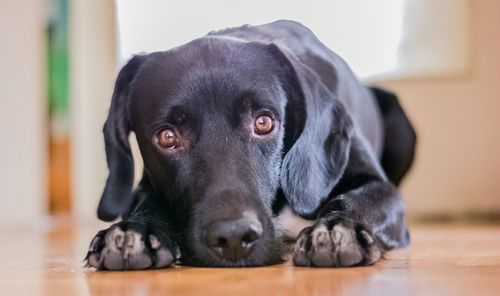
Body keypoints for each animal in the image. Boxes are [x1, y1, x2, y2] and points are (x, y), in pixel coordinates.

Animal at [85, 20, 414, 270]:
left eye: (264, 122)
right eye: (167, 137)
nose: (233, 238)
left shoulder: (380, 188)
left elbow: (361, 200)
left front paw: (337, 228)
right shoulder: (146, 185)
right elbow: (146, 203)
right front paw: (134, 231)